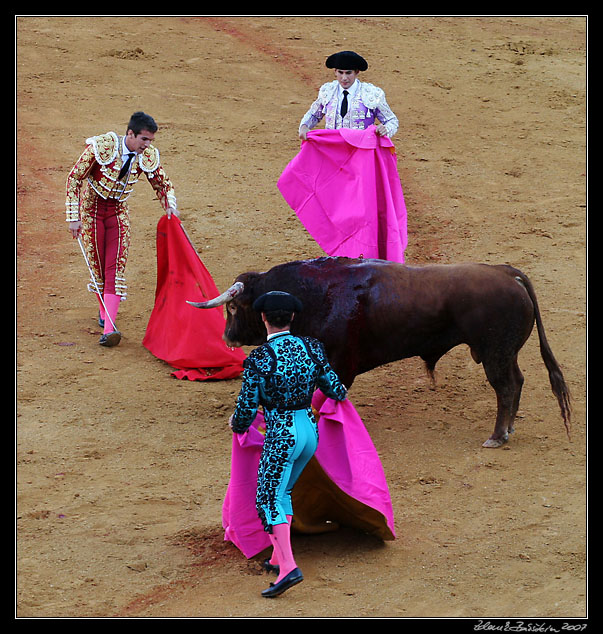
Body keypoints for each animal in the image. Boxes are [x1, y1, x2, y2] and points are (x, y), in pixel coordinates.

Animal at [189, 254, 572, 446]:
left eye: (233, 307)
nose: (227, 337)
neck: (311, 295)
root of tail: (507, 273)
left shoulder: (338, 365)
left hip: (494, 353)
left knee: (505, 388)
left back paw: (496, 437)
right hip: (505, 353)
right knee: (517, 381)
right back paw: (508, 430)